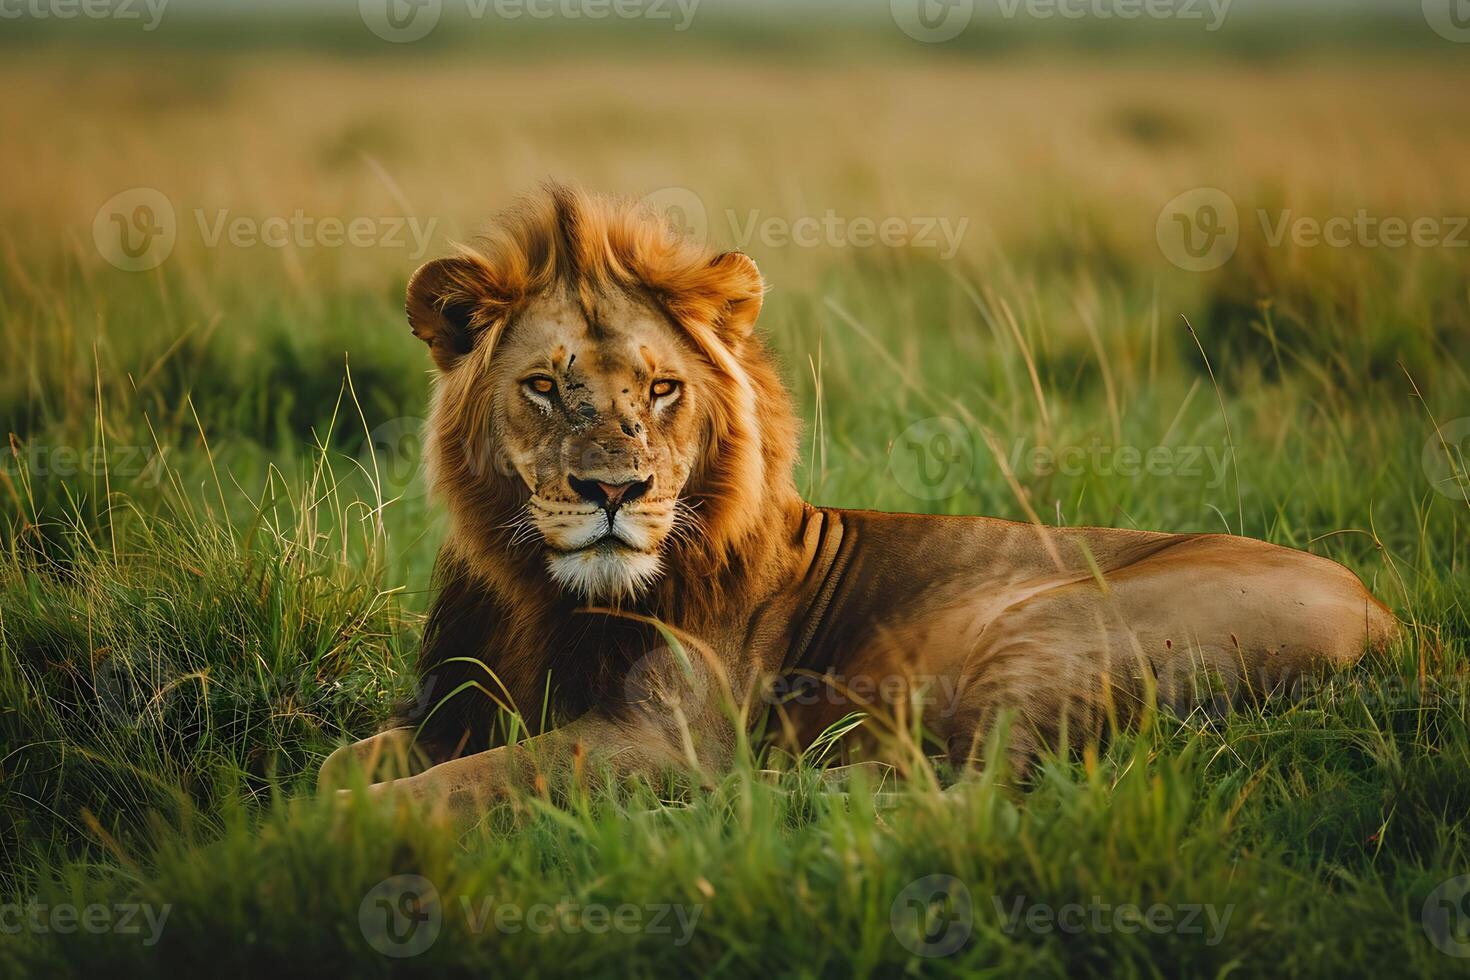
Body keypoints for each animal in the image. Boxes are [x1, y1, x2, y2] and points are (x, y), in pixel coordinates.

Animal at [318, 183, 1387, 811]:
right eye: (543, 385)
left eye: (661, 389)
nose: (613, 490)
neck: (548, 598)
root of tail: (1396, 625)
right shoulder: (461, 701)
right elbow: (350, 762)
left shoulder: (667, 739)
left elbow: (461, 785)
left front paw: (339, 834)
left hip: (1046, 632)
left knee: (974, 796)